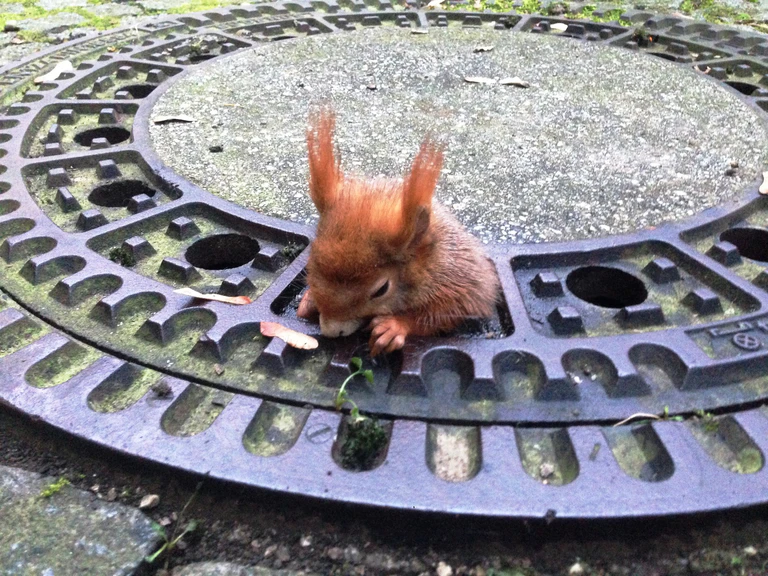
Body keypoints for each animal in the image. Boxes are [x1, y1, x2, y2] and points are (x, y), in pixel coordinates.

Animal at [296, 108, 500, 356]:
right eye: (309, 263)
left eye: (382, 289)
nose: (331, 331)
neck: (425, 261)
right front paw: (308, 300)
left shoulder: (456, 278)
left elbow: (449, 311)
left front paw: (394, 327)